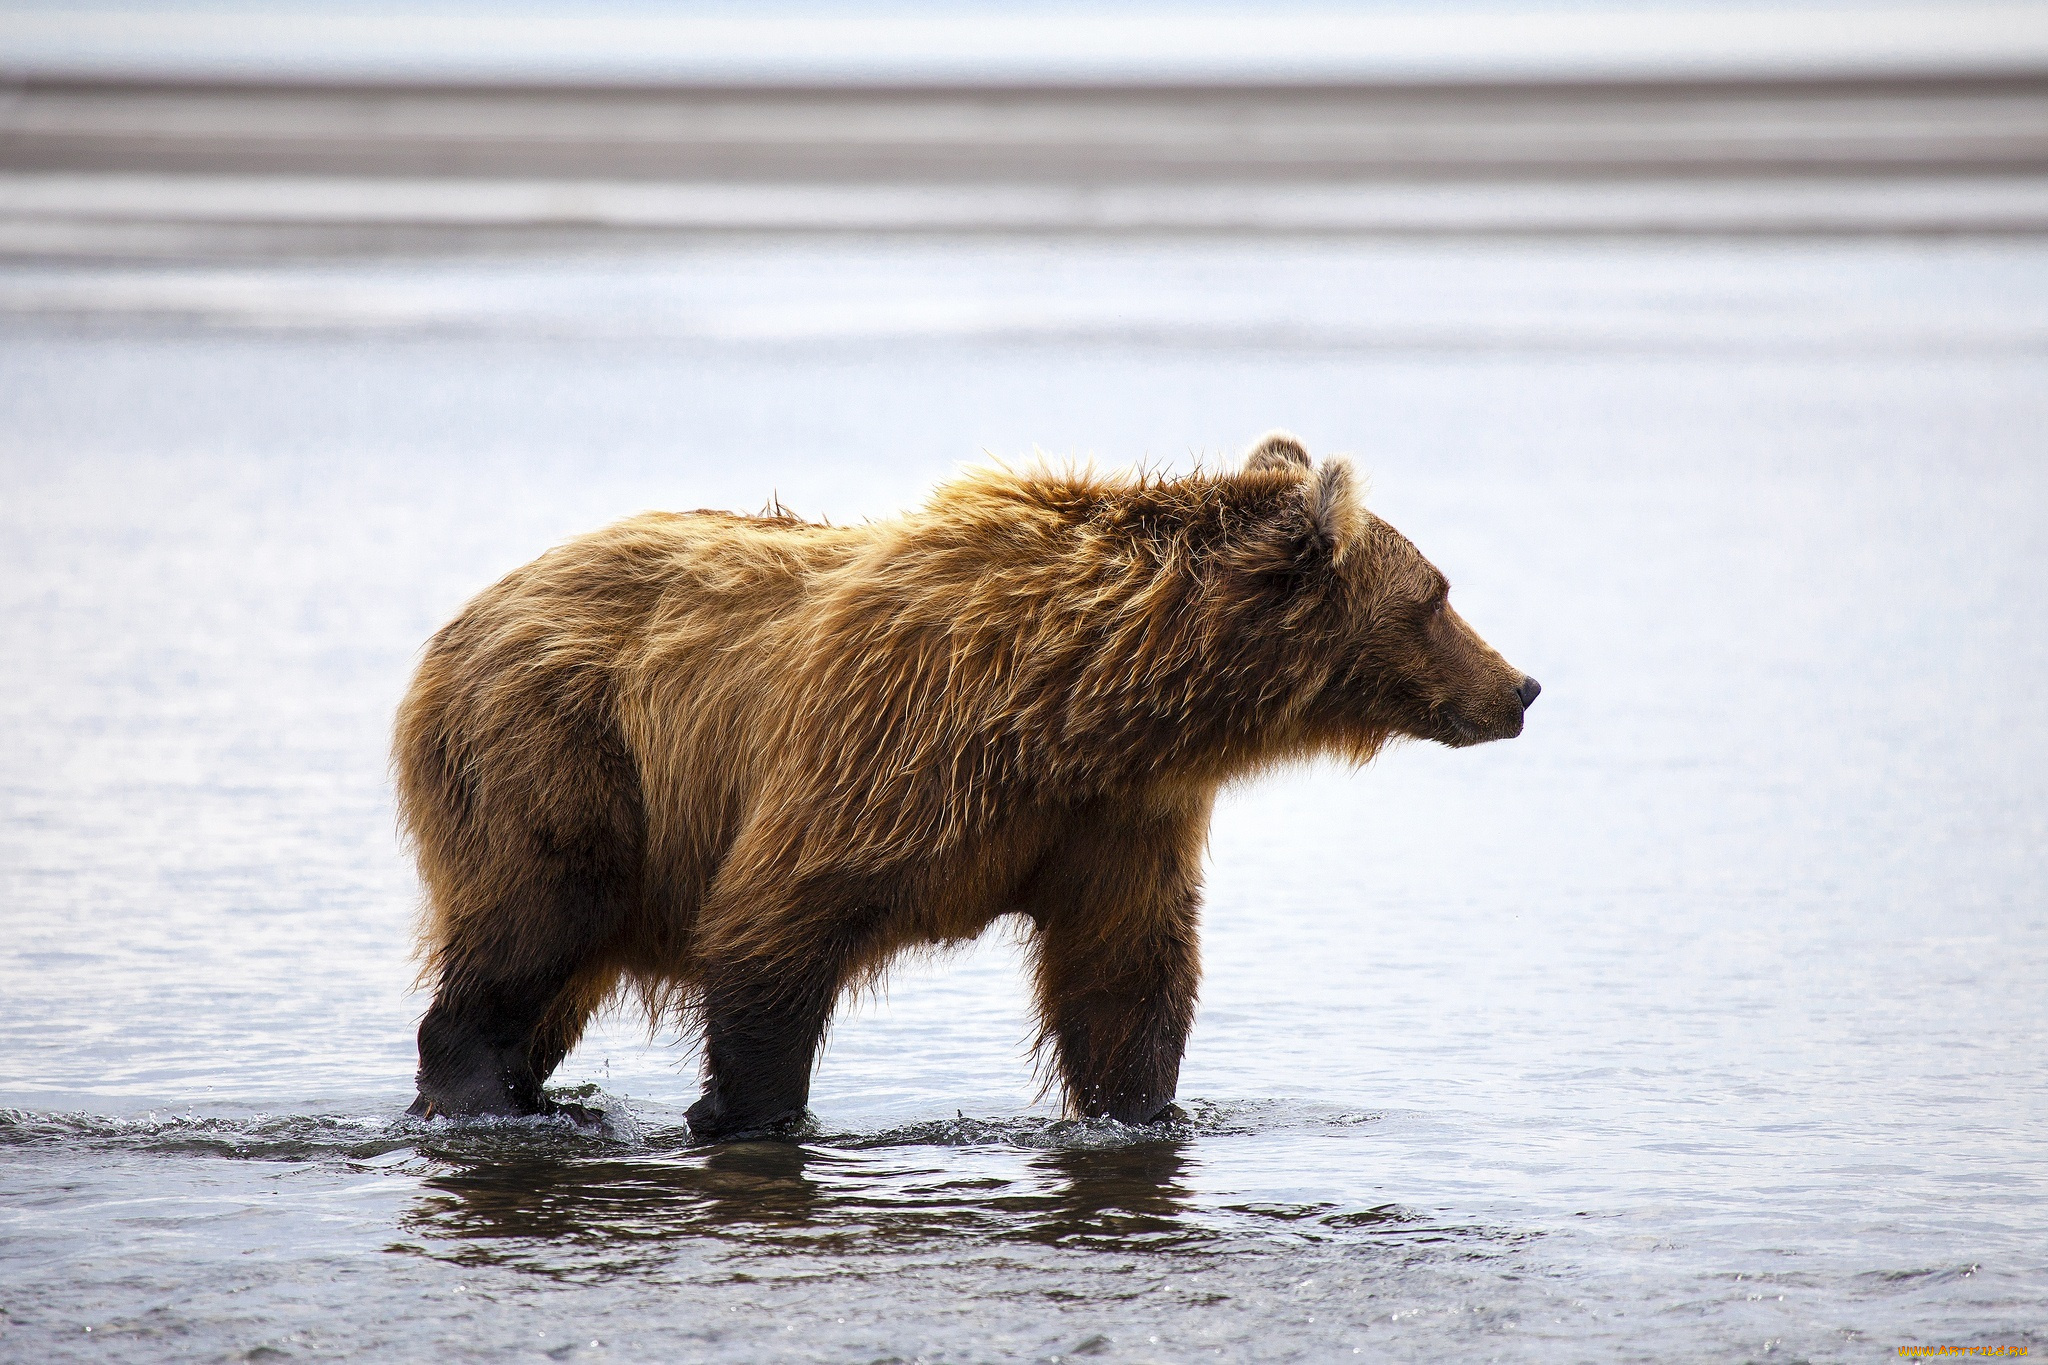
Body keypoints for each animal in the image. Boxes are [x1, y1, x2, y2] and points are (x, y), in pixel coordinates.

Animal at [395, 431, 1540, 1137]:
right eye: (1437, 594)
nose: (1519, 686)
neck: (1087, 705)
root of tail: (465, 618)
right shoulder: (887, 752)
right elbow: (776, 922)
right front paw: (753, 1113)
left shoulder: (1115, 818)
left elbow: (1124, 977)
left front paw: (1142, 1108)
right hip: (561, 754)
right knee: (531, 924)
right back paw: (489, 1092)